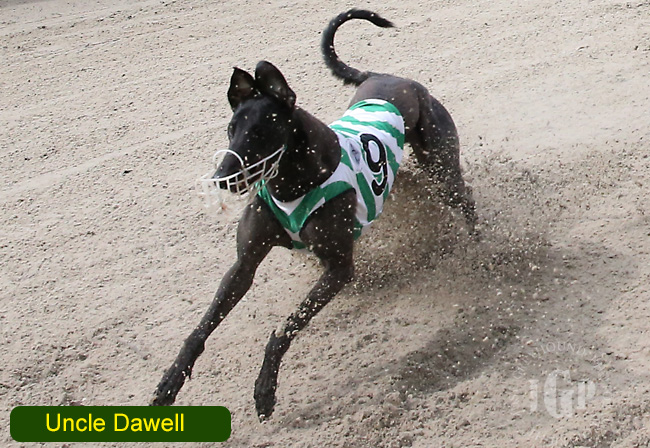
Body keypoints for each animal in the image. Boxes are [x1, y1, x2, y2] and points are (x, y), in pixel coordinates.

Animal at [152, 9, 477, 419]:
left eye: (263, 131)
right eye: (231, 128)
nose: (221, 178)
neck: (294, 184)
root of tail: (386, 77)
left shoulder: (338, 269)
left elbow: (284, 330)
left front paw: (265, 390)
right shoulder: (245, 263)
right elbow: (201, 328)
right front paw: (170, 381)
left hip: (442, 166)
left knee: (465, 201)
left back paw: (483, 248)